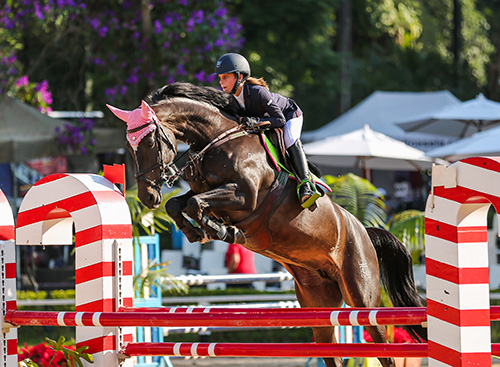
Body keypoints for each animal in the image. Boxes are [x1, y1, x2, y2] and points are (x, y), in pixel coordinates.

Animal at [106, 82, 426, 367]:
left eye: (149, 142)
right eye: (129, 149)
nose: (147, 197)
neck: (218, 140)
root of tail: (364, 233)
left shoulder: (244, 197)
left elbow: (195, 204)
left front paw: (219, 230)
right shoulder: (203, 190)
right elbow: (179, 204)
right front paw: (198, 231)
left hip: (361, 294)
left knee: (383, 347)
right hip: (318, 302)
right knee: (331, 351)